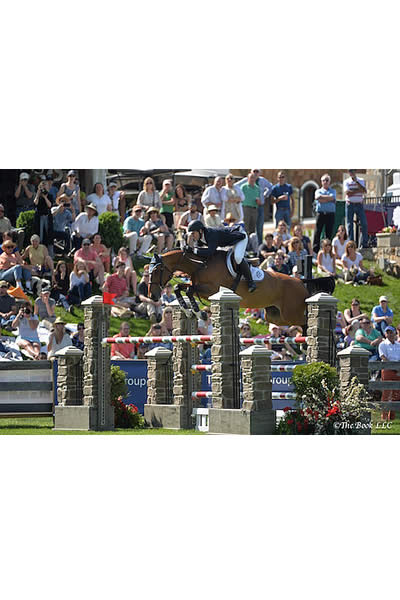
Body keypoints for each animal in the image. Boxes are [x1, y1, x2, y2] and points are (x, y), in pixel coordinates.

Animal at [148, 248, 336, 326]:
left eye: (156, 270)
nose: (154, 296)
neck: (201, 265)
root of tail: (300, 282)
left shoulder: (212, 290)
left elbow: (188, 290)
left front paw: (199, 312)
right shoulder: (198, 286)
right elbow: (180, 288)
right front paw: (189, 311)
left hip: (291, 314)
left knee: (305, 323)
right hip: (276, 316)